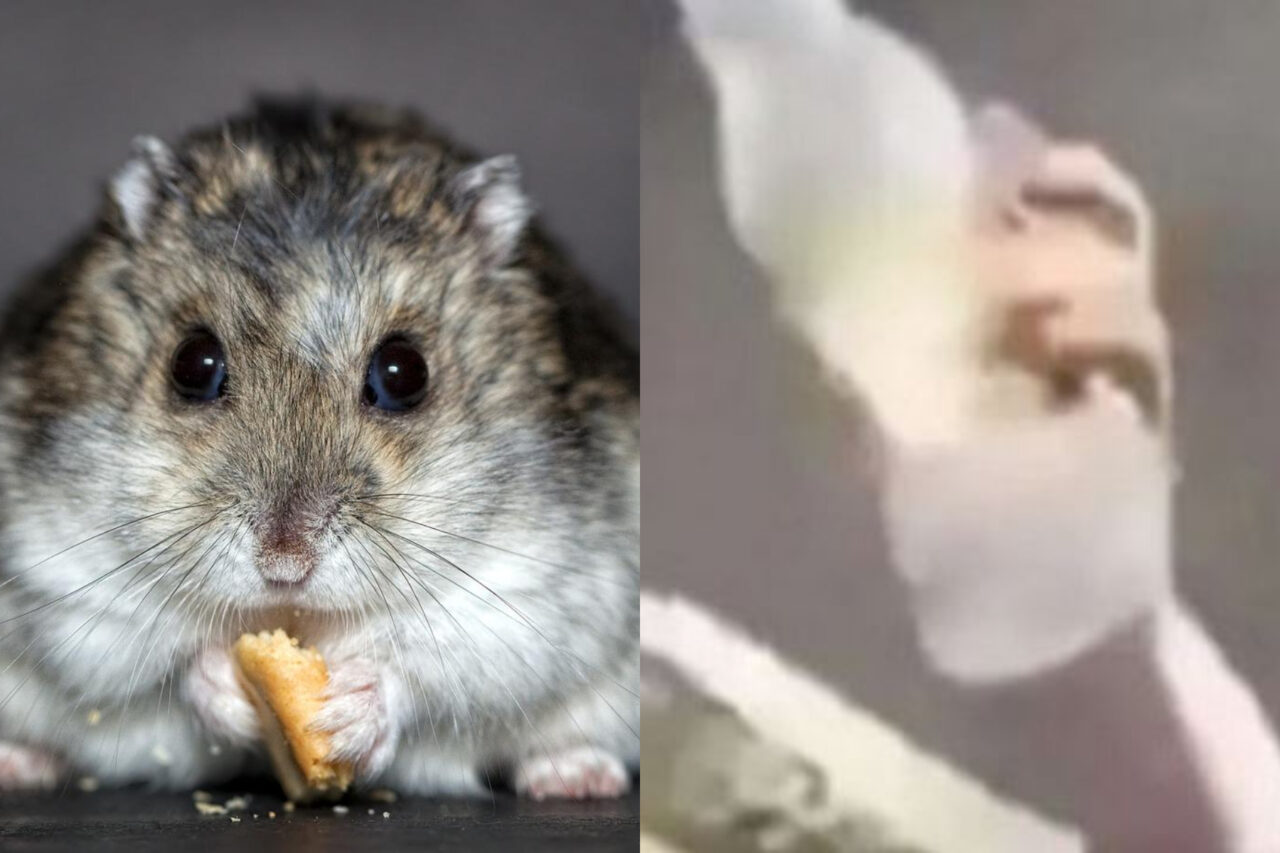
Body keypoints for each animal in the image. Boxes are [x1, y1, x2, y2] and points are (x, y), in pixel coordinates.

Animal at [0, 97, 638, 797]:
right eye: (192, 364)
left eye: (404, 373)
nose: (285, 565)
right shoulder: (66, 578)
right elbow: (164, 664)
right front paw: (228, 686)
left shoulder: (529, 593)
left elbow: (427, 668)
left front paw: (346, 713)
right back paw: (19, 763)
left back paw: (576, 776)